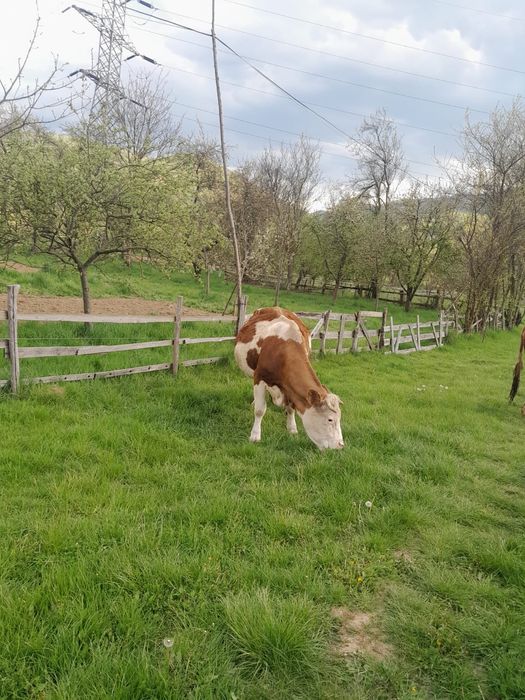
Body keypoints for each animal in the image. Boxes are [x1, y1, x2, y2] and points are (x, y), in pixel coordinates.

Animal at [234, 306, 344, 450]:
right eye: (330, 419)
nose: (340, 445)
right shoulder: (260, 377)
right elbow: (259, 410)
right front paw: (255, 436)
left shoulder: (290, 387)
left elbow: (291, 408)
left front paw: (292, 429)